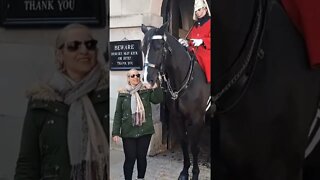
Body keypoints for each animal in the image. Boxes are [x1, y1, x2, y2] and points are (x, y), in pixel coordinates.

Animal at [140, 22, 210, 180]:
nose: (147, 80)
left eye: (158, 47)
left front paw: (195, 173)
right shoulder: (177, 118)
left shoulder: (197, 119)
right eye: (142, 49)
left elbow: (194, 147)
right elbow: (184, 143)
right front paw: (184, 172)